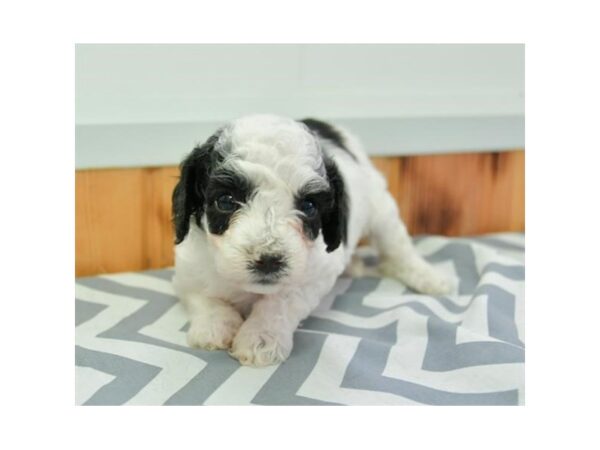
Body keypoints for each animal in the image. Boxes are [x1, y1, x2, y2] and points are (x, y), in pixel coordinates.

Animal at [171, 114, 452, 368]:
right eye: (226, 201)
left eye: (308, 206)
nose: (269, 261)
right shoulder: (188, 266)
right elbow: (201, 295)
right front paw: (213, 326)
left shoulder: (314, 272)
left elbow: (281, 302)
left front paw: (261, 338)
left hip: (380, 207)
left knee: (398, 248)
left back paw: (430, 277)